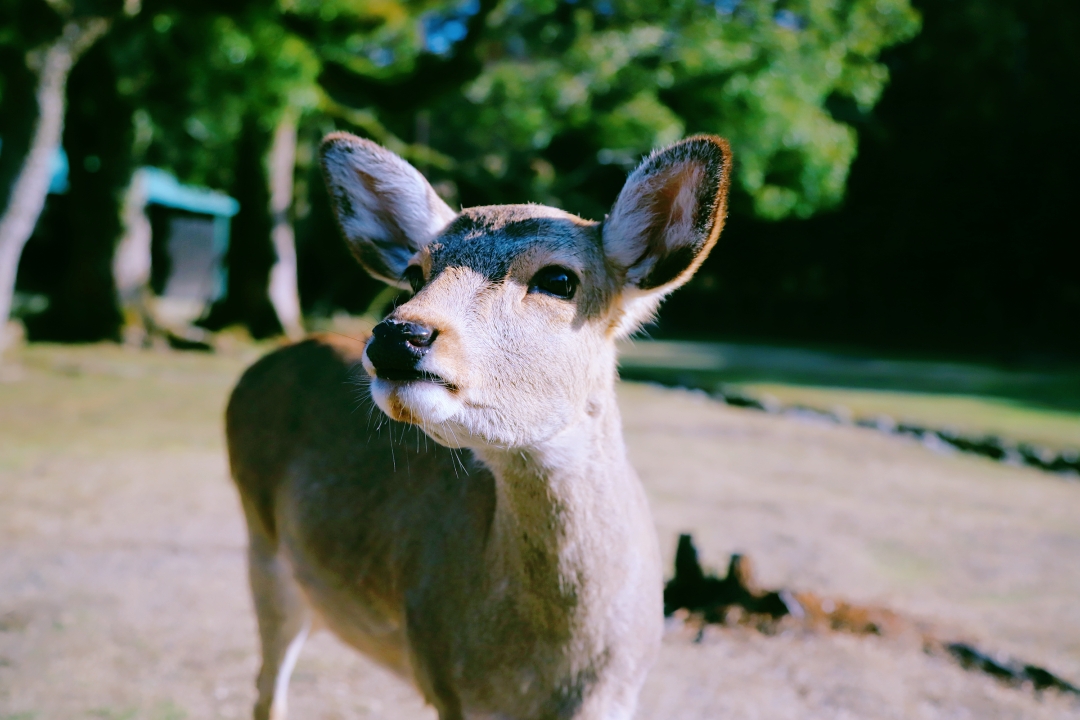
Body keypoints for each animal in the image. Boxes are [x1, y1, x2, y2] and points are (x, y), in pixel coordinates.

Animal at [227, 131, 734, 720]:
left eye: (559, 278)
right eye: (415, 272)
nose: (398, 335)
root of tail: (259, 365)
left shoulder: (621, 694)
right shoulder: (445, 679)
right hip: (261, 542)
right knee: (266, 686)